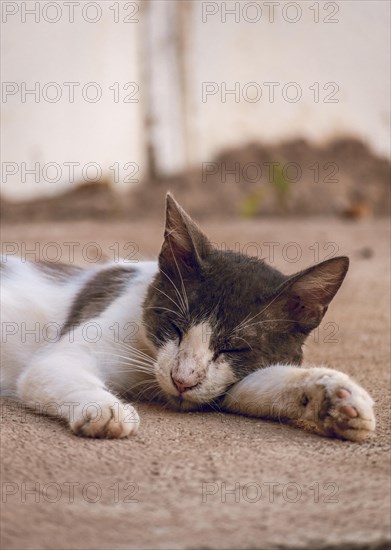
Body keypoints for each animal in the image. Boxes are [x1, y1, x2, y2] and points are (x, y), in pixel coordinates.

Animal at [1, 194, 378, 444]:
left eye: (234, 349)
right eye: (174, 326)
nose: (182, 380)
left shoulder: (224, 382)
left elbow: (253, 387)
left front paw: (337, 398)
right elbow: (50, 368)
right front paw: (104, 408)